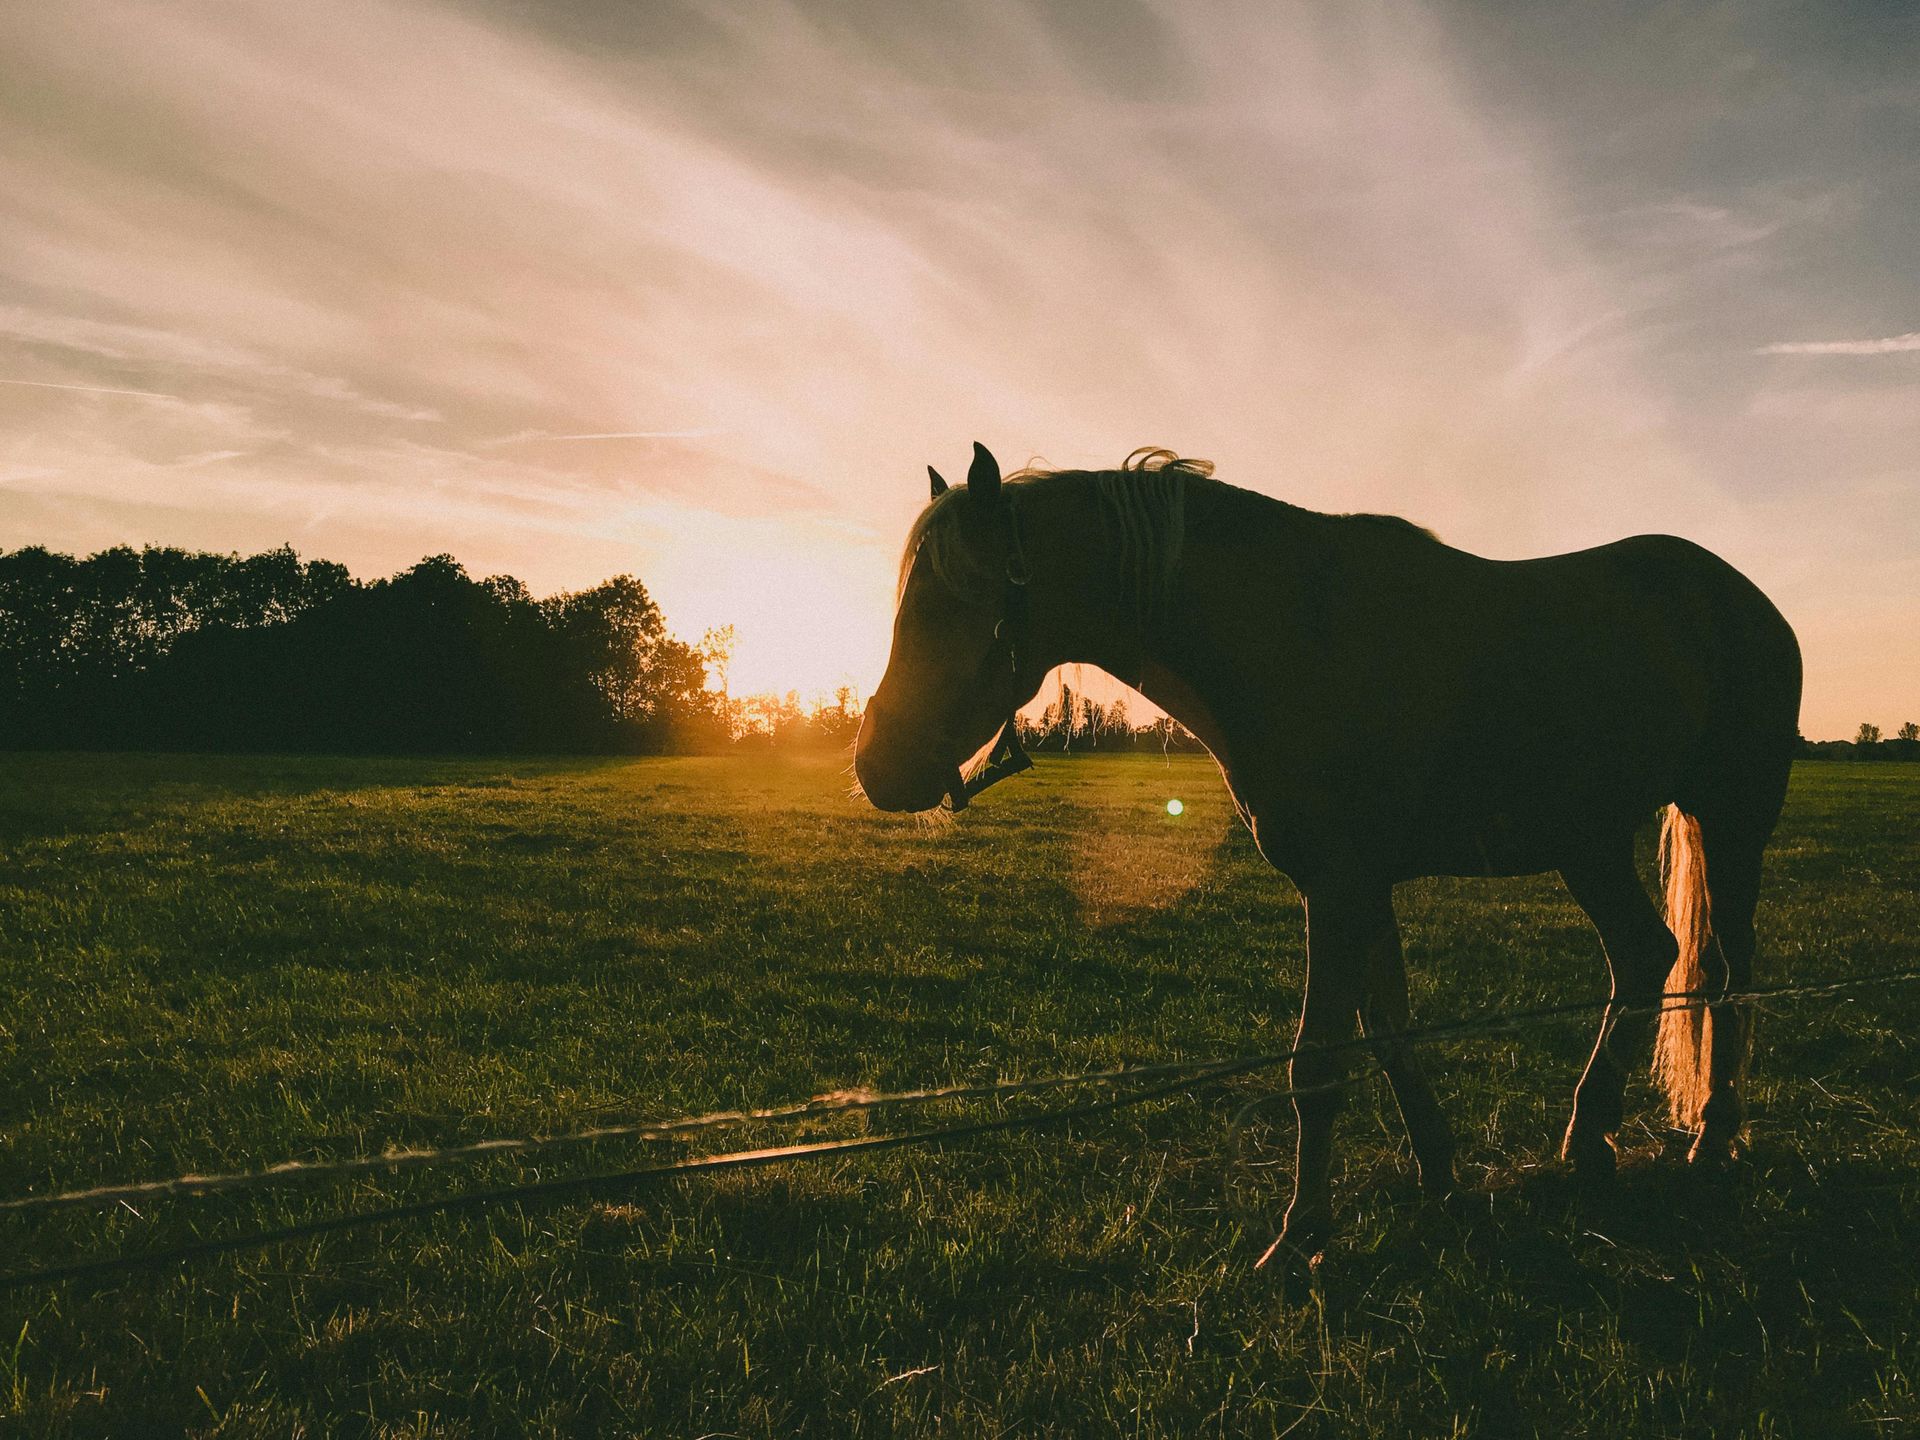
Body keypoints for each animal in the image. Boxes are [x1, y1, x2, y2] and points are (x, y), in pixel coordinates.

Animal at [854, 442, 1802, 1264]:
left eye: (949, 601)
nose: (876, 766)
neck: (1294, 636)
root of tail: (1743, 598)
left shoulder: (1338, 889)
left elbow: (1316, 1064)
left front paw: (1302, 1235)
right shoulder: (1361, 889)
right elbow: (1388, 1036)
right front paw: (1442, 1177)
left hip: (1730, 822)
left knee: (1726, 971)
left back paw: (1712, 1137)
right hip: (1590, 842)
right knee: (1645, 956)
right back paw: (1591, 1138)